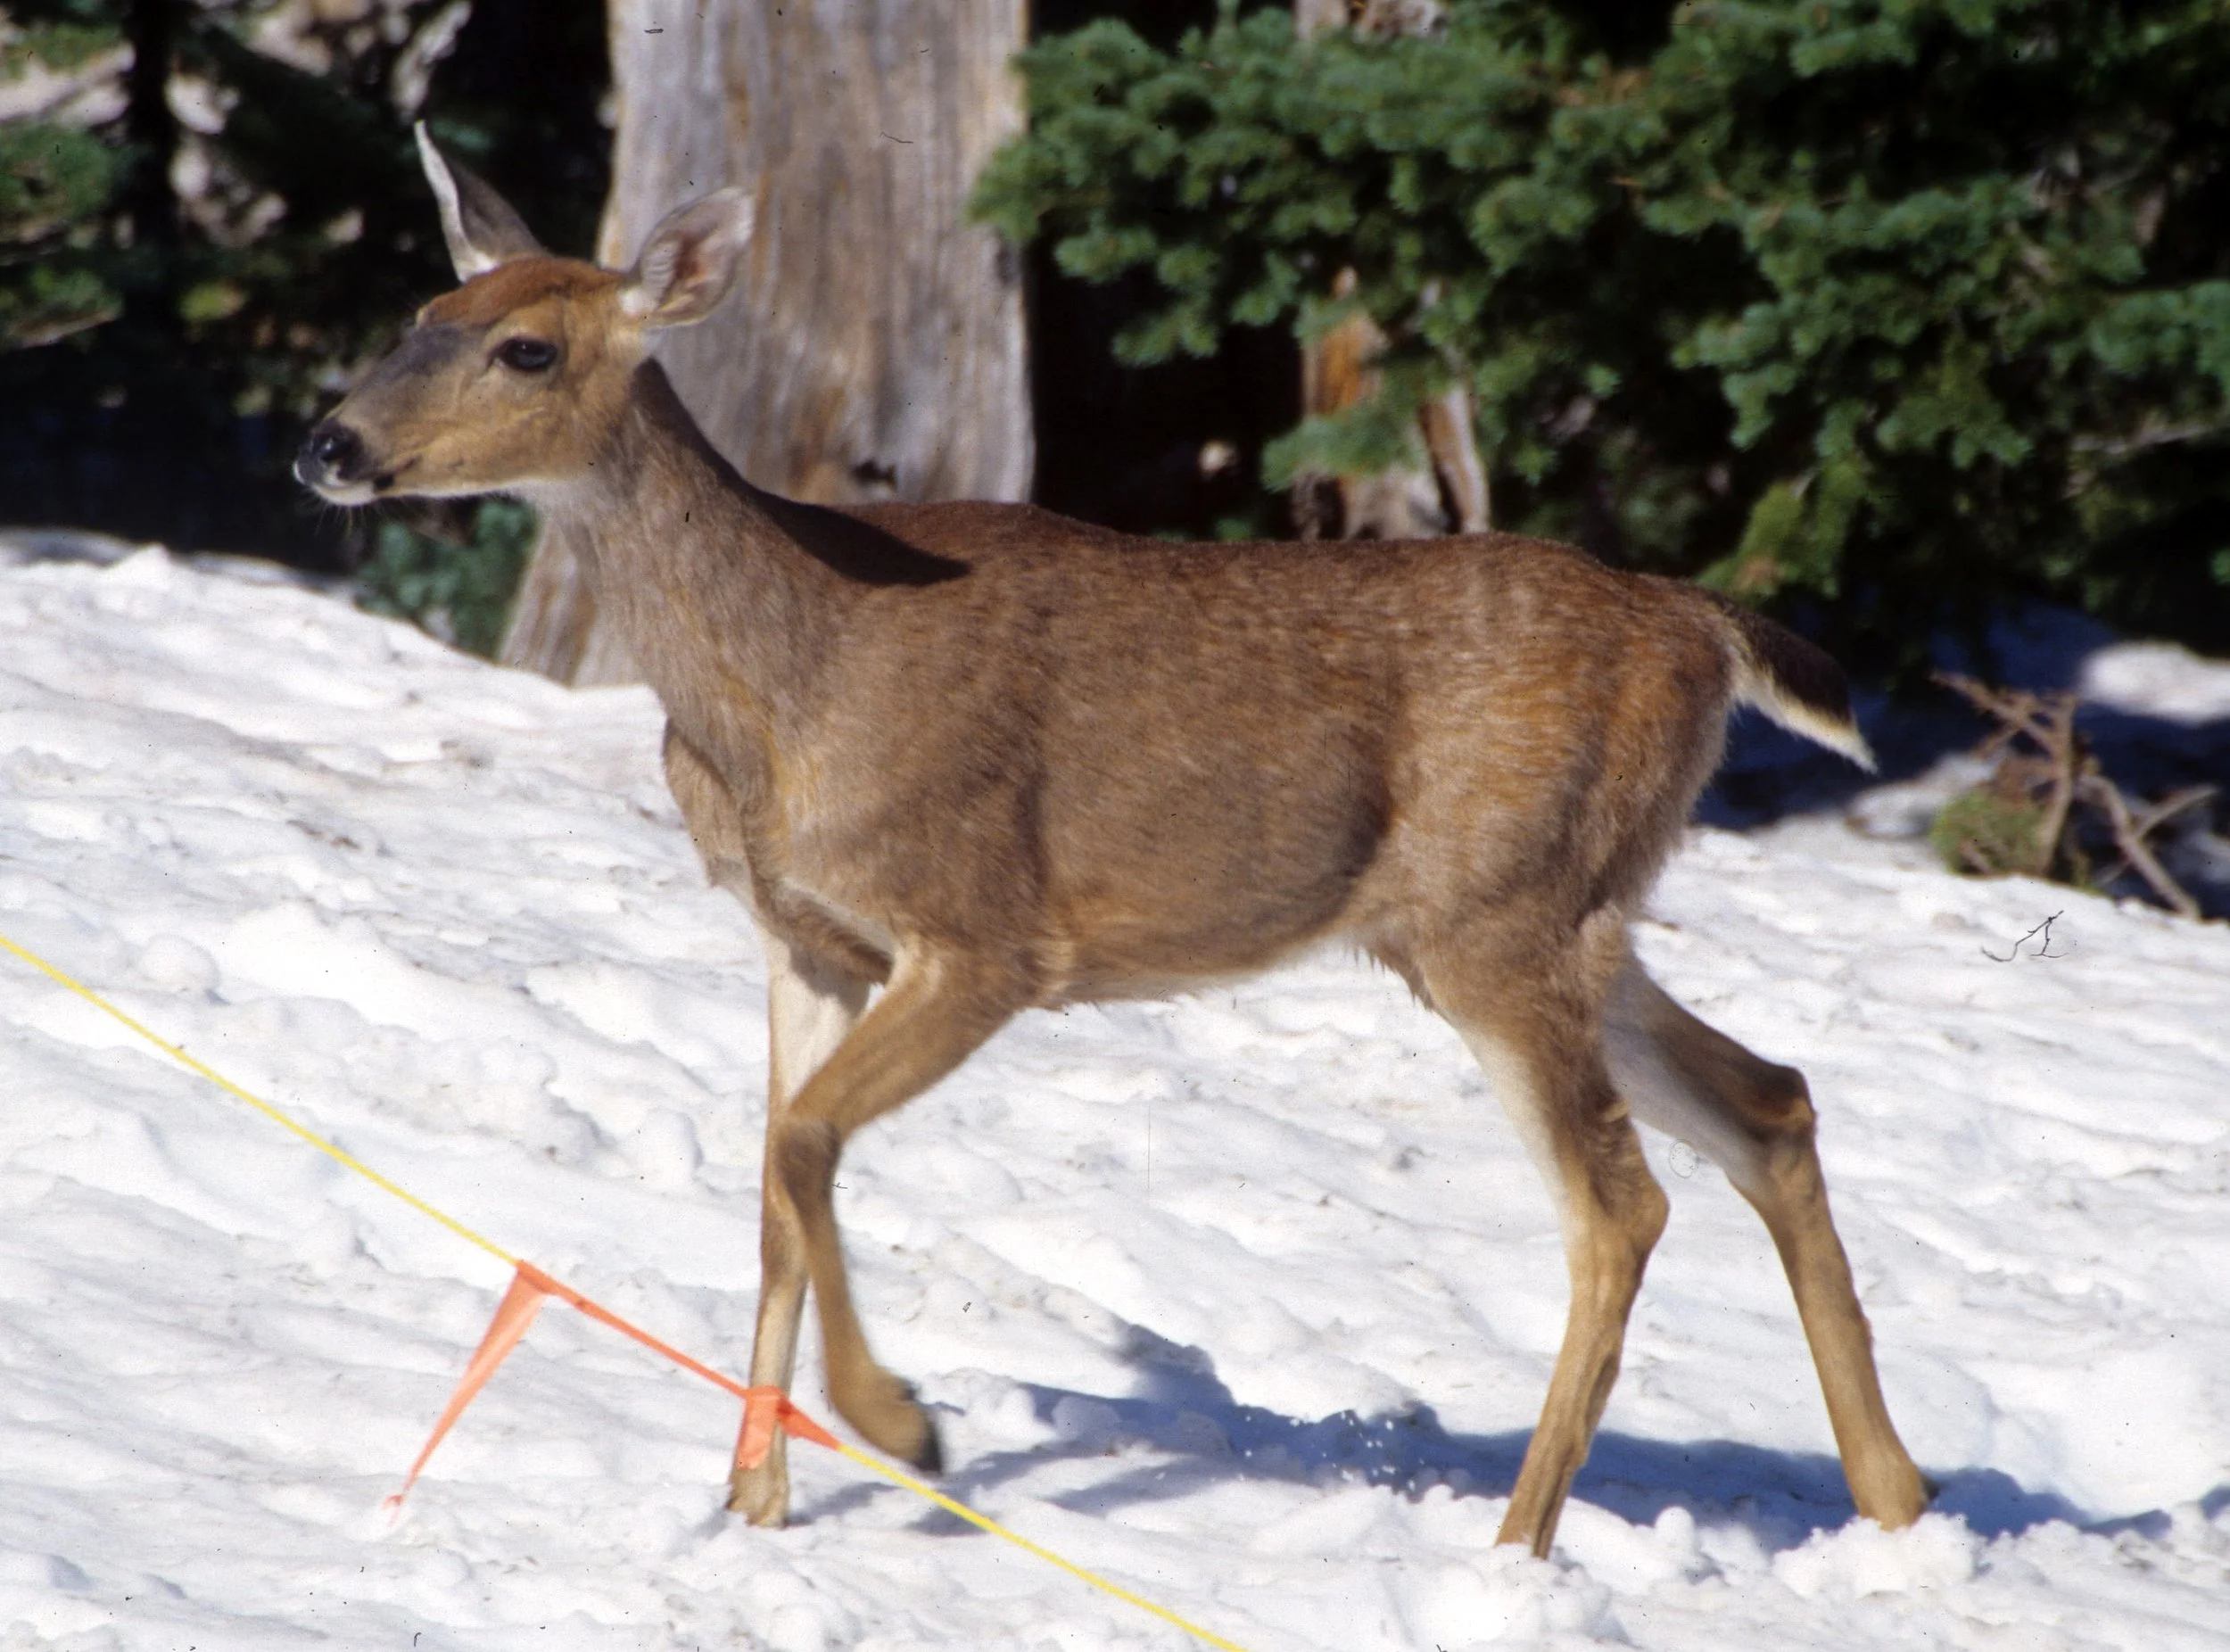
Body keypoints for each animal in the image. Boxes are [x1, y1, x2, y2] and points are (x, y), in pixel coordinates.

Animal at [295, 130, 1931, 1557]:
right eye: (421, 315)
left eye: (526, 349)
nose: (329, 442)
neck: (789, 688)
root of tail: (1699, 624)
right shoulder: (806, 938)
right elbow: (770, 1184)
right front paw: (752, 1505)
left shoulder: (986, 932)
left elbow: (807, 1140)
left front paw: (901, 1427)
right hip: (1563, 912)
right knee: (1771, 1103)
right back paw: (1898, 1502)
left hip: (1504, 918)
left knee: (1620, 1205)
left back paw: (1517, 1550)